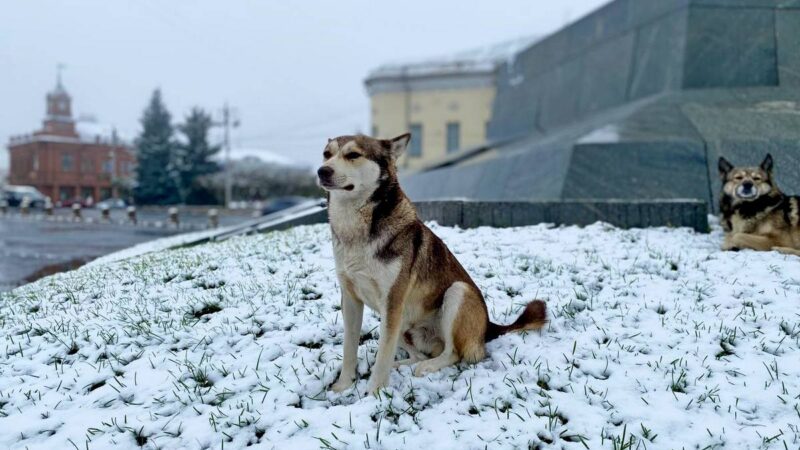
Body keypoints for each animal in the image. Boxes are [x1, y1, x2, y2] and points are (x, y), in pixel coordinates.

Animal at [316, 134, 548, 394]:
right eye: (326, 154)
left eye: (353, 155)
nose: (322, 171)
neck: (355, 230)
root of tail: (489, 327)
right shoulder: (351, 298)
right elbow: (350, 347)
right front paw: (343, 385)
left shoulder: (393, 300)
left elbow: (383, 353)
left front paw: (374, 393)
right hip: (403, 322)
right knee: (419, 354)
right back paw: (402, 365)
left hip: (457, 293)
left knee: (455, 353)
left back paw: (427, 367)